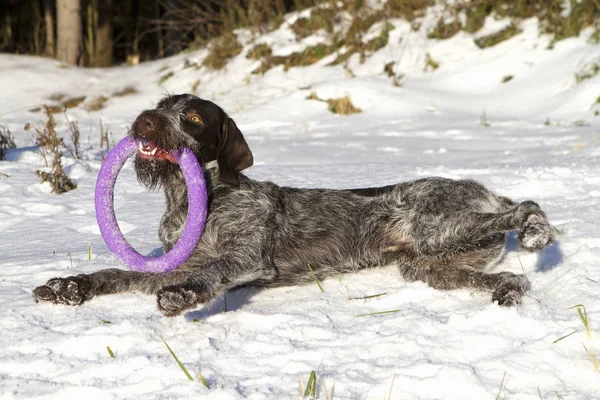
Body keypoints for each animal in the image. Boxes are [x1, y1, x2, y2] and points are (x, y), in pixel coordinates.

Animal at [34, 93, 556, 316]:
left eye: (194, 118)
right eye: (161, 106)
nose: (144, 120)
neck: (196, 198)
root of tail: (487, 191)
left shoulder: (247, 258)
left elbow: (214, 271)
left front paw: (185, 296)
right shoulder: (172, 262)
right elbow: (113, 273)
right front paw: (70, 285)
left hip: (437, 228)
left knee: (528, 204)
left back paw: (534, 228)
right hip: (428, 265)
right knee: (510, 276)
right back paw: (508, 290)